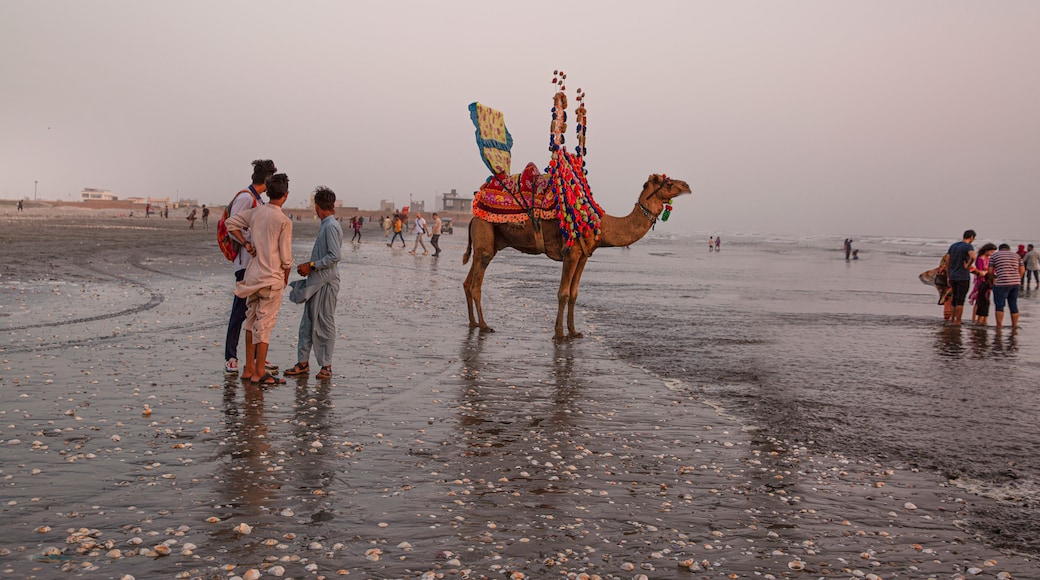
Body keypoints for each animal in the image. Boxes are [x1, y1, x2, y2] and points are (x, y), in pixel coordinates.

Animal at [463, 173, 691, 340]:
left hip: (489, 244)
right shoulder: (571, 253)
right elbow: (563, 293)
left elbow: (574, 294)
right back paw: (485, 325)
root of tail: (472, 218)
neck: (601, 224)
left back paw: (473, 322)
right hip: (485, 234)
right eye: (668, 183)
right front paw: (559, 334)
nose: (687, 186)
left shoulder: (583, 256)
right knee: (476, 285)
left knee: (468, 281)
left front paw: (574, 331)